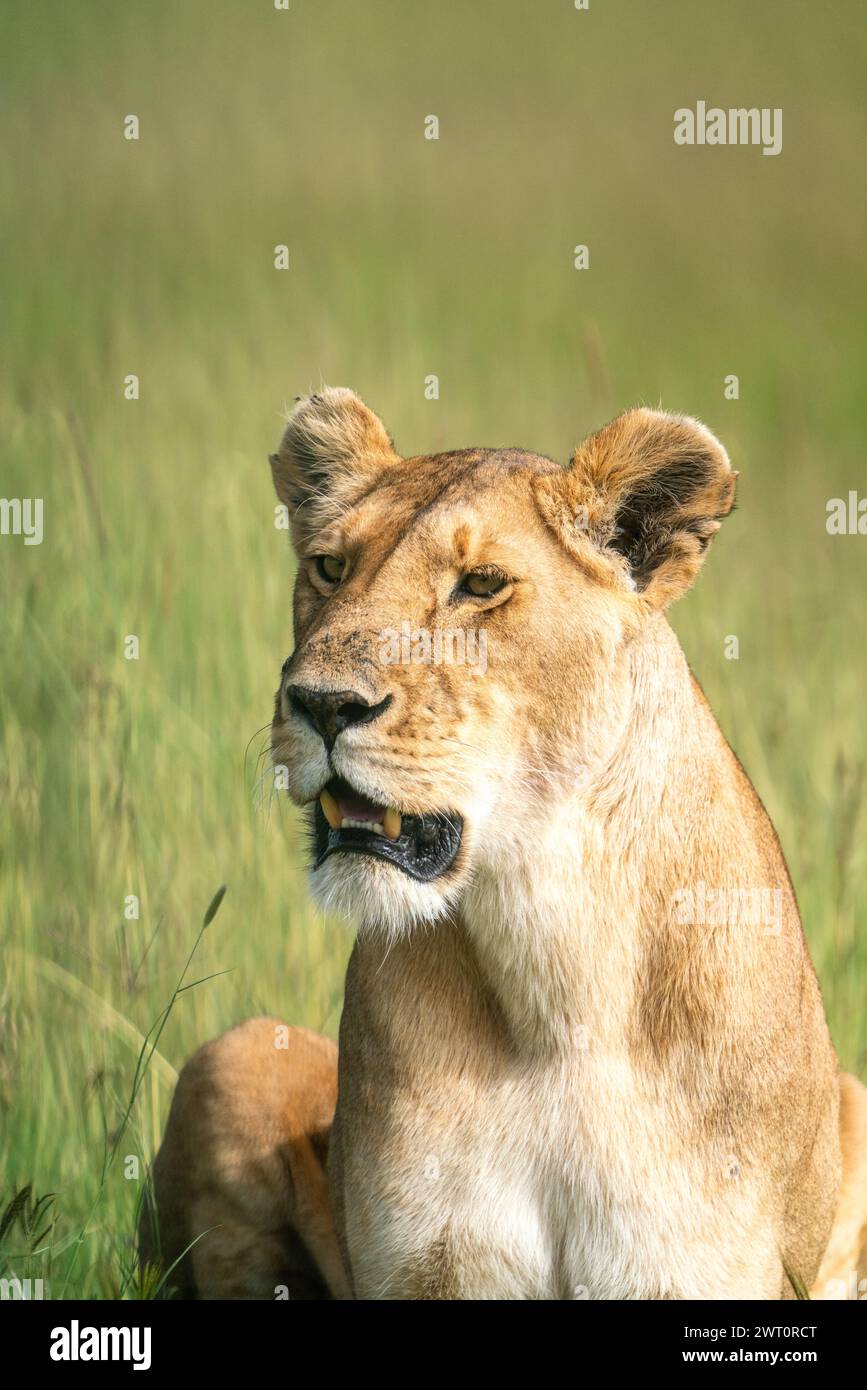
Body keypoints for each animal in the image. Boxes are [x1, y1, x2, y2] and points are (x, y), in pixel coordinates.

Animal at [142, 389, 867, 1299]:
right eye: (329, 568)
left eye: (479, 585)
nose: (320, 703)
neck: (552, 969)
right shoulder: (428, 1264)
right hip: (232, 1056)